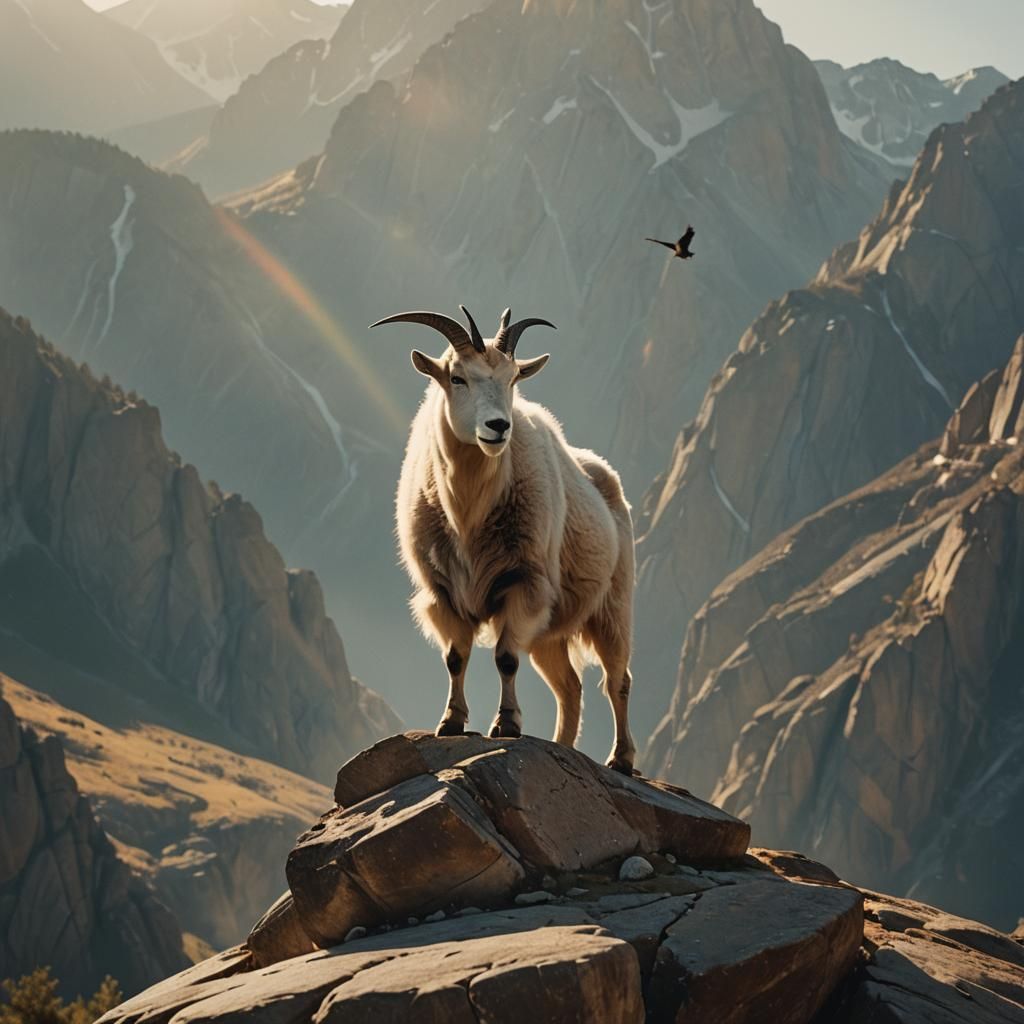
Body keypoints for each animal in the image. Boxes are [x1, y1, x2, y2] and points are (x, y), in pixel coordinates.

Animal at [370, 305, 637, 772]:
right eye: (457, 377)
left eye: (513, 379)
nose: (498, 427)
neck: (468, 513)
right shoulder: (443, 590)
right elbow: (455, 657)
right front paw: (451, 722)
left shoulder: (522, 581)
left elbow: (506, 658)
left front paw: (506, 724)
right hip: (552, 630)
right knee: (569, 686)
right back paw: (562, 748)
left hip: (613, 605)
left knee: (616, 679)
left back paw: (621, 759)